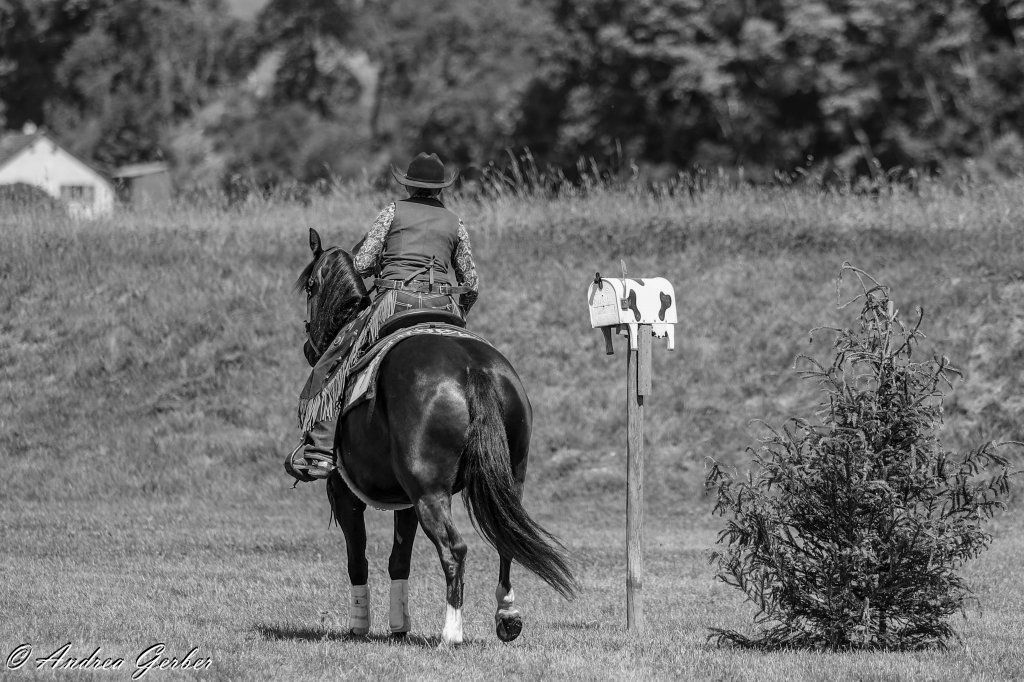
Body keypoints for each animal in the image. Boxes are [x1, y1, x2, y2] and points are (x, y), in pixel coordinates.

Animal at [296, 228, 578, 645]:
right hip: (506, 480)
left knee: (454, 549)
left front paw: (360, 625)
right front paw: (399, 624)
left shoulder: (344, 493)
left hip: (429, 491)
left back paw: (451, 632)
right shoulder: (404, 501)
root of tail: (473, 368)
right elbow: (399, 560)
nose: (308, 345)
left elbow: (358, 558)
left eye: (311, 286)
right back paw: (507, 616)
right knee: (505, 542)